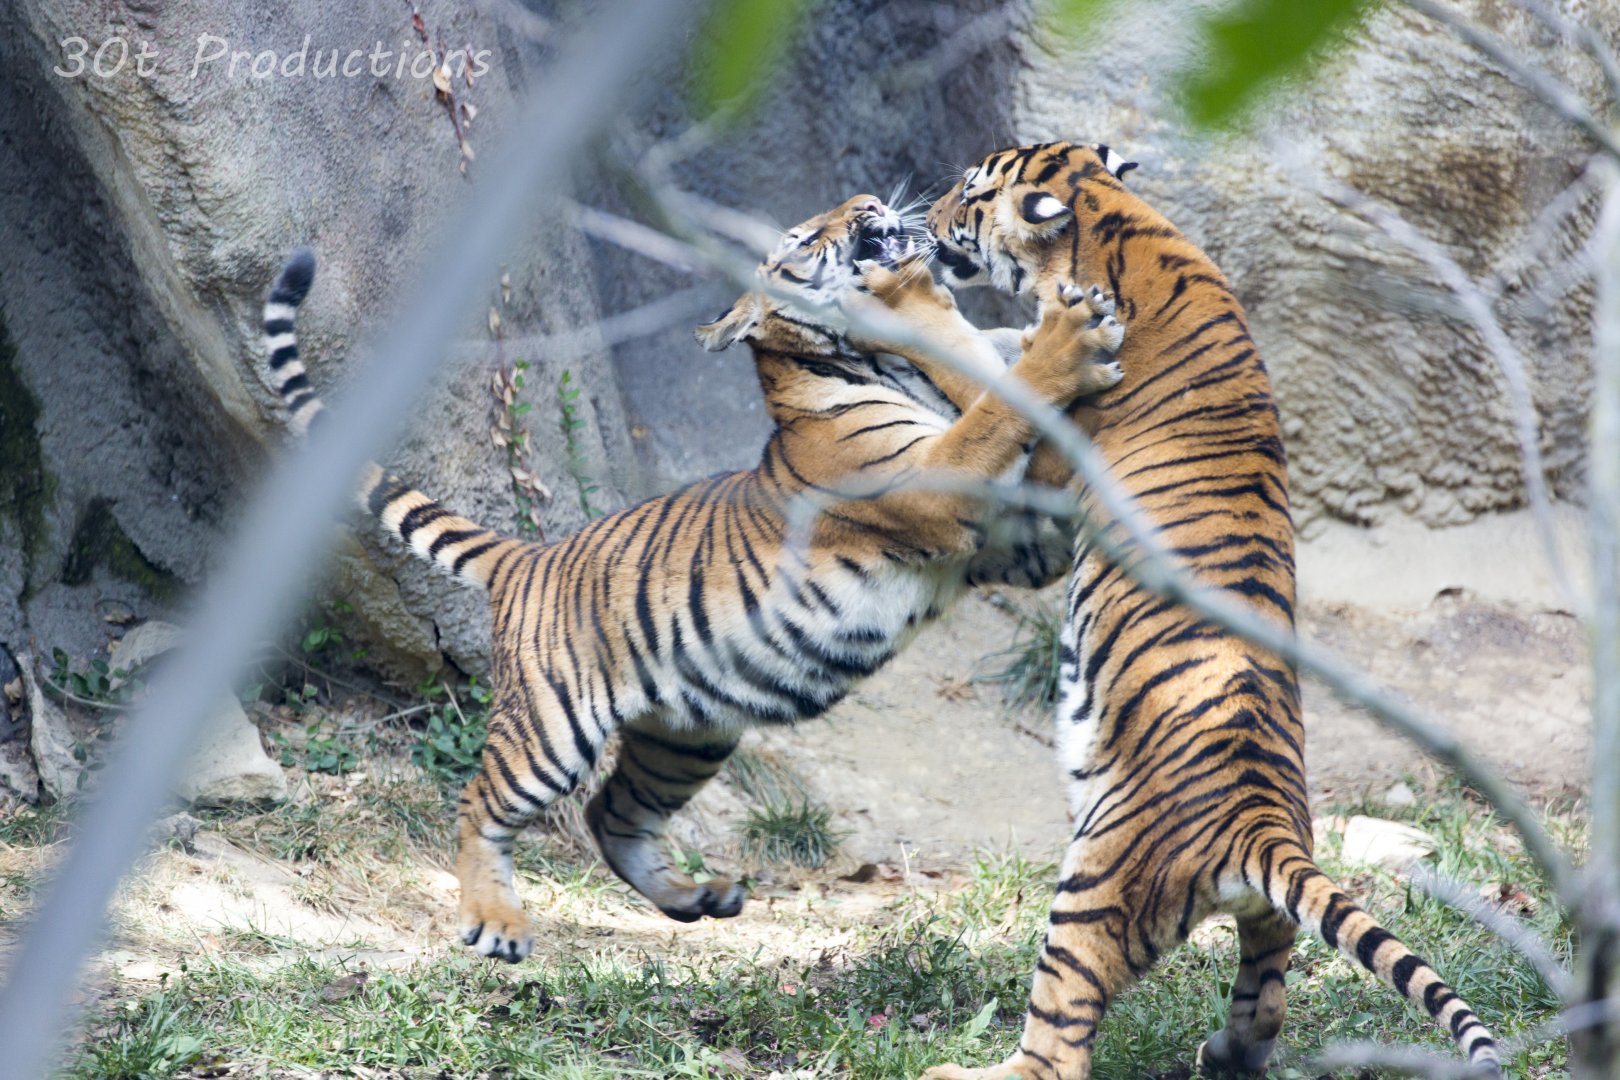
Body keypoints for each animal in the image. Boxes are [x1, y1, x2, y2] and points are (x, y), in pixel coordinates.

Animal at [257, 192, 1128, 964]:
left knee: (612, 813)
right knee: (482, 803)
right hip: (550, 727)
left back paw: (695, 897)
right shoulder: (943, 485)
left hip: (686, 737)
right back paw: (494, 923)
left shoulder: (1011, 542)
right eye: (804, 236)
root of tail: (528, 556)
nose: (869, 203)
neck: (867, 363)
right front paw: (1059, 339)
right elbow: (994, 408)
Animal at [917, 141, 1501, 1078]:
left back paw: (970, 1070)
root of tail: (1259, 825)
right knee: (1267, 991)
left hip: (1088, 885)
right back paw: (1226, 1051)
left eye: (970, 192)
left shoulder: (1046, 470)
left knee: (1059, 1042)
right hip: (1266, 919)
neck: (1116, 220)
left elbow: (979, 378)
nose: (929, 219)